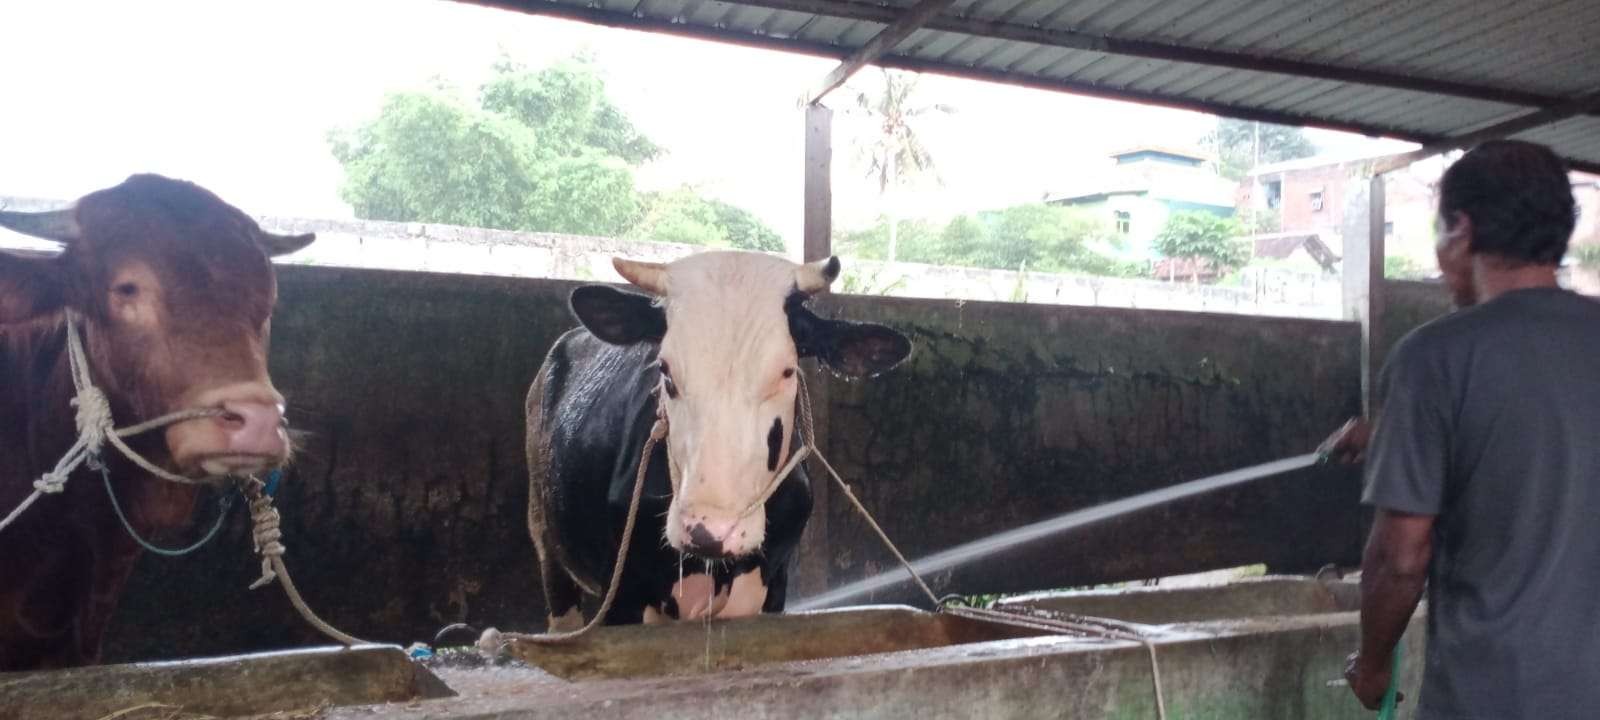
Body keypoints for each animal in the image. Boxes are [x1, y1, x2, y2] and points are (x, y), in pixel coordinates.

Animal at [528, 251, 915, 624]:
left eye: (787, 371)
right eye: (664, 370)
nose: (708, 530)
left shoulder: (773, 586)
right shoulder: (623, 595)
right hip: (544, 535)